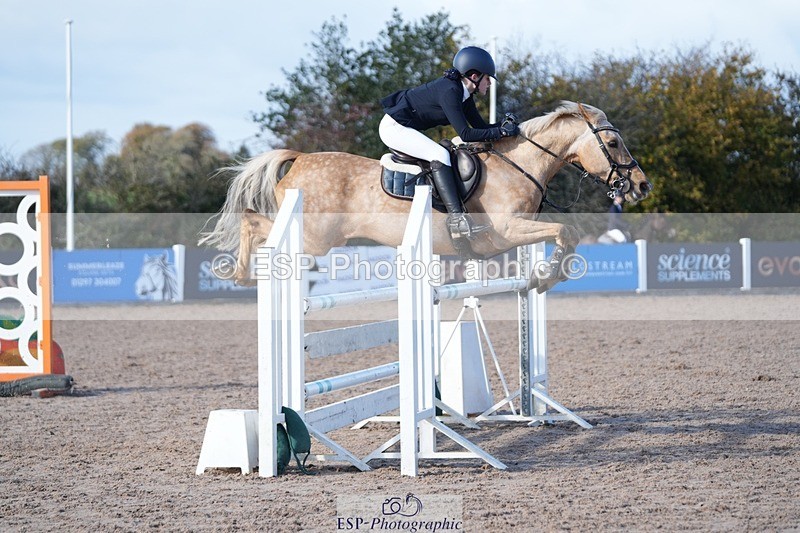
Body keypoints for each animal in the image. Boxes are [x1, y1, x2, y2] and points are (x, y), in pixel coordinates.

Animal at [200, 101, 652, 292]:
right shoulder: (505, 231)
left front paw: (545, 277)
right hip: (316, 238)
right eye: (613, 142)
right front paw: (544, 279)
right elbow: (566, 232)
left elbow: (565, 235)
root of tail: (301, 158)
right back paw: (242, 274)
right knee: (252, 220)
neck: (518, 164)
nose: (641, 185)